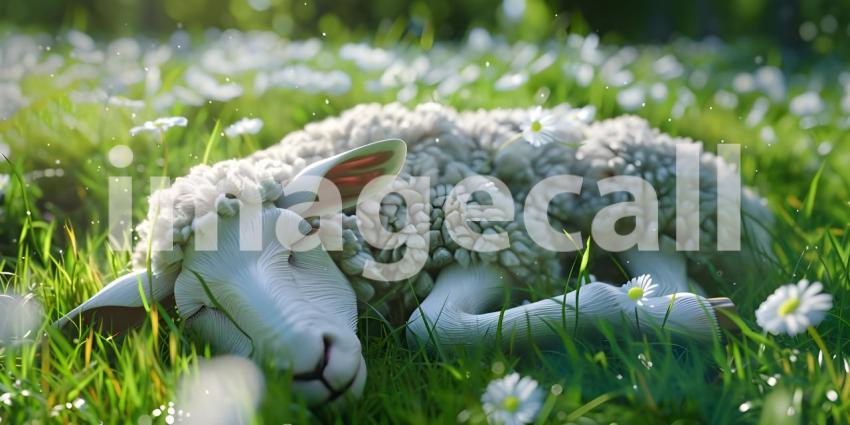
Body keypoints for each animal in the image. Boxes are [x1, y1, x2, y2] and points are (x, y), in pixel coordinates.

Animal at [58, 102, 773, 405]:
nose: (313, 365)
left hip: (626, 177)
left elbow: (432, 330)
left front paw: (669, 318)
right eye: (200, 311)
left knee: (655, 242)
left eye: (298, 246)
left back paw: (685, 310)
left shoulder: (493, 233)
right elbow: (433, 328)